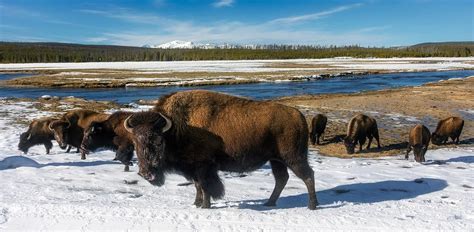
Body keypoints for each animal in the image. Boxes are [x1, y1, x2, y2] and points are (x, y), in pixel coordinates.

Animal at [122, 90, 318, 210]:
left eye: (158, 141)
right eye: (136, 142)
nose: (146, 173)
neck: (177, 128)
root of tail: (299, 115)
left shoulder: (204, 167)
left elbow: (205, 186)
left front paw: (204, 205)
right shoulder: (193, 169)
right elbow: (197, 186)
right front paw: (196, 203)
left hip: (293, 157)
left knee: (307, 175)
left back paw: (312, 205)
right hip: (276, 160)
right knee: (281, 179)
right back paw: (269, 203)